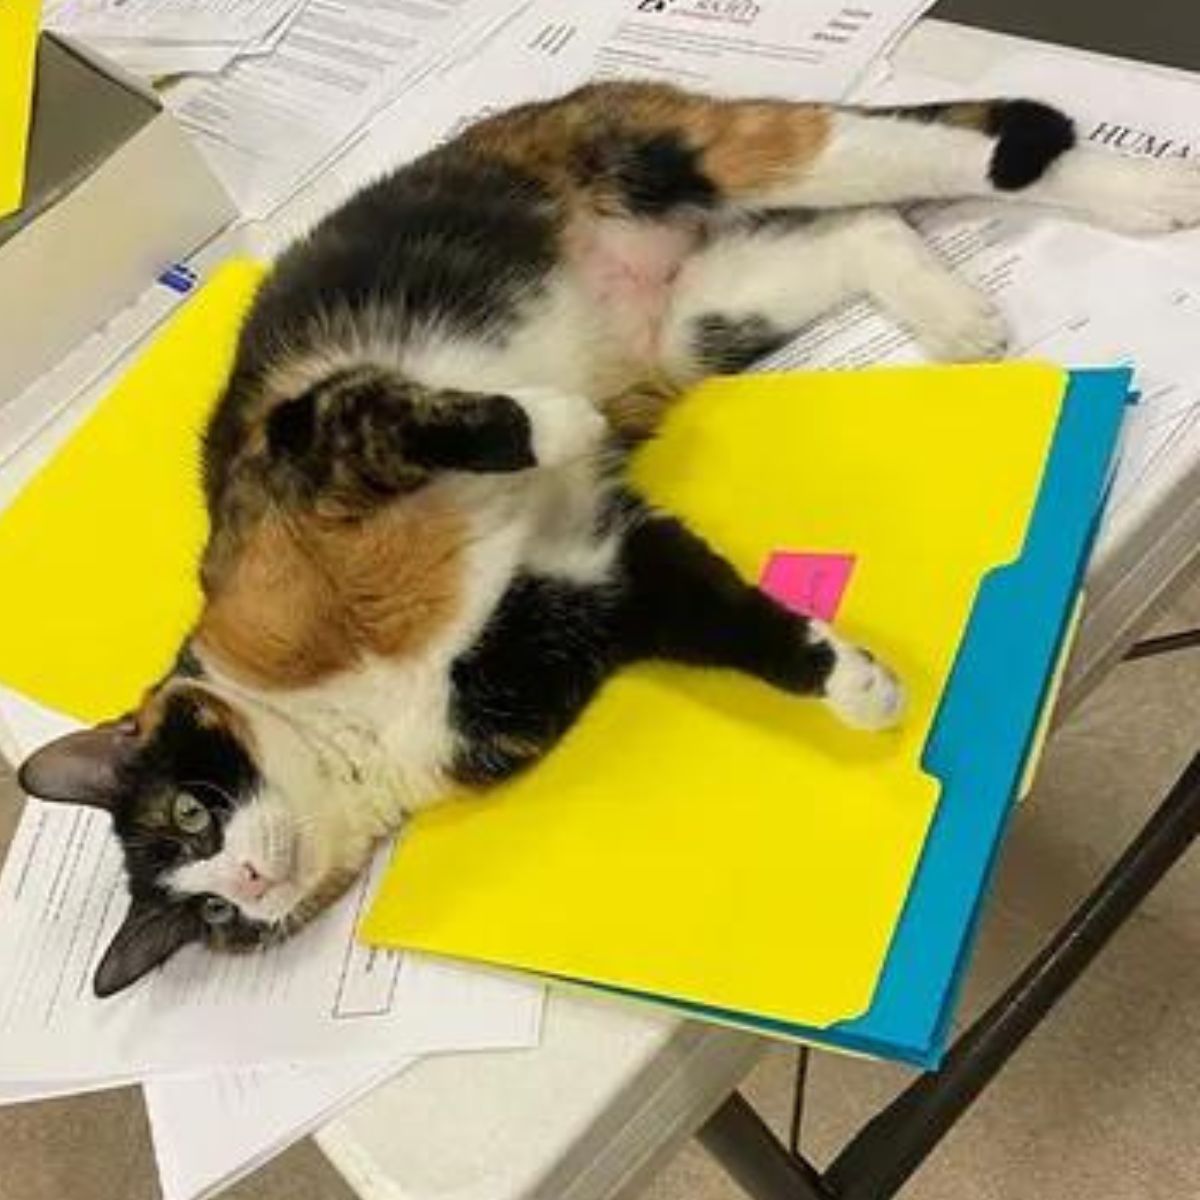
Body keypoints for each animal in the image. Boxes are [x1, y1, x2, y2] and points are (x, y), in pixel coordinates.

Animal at [18, 84, 1200, 998]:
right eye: (207, 918)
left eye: (186, 817)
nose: (247, 887)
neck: (348, 720)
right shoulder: (582, 588)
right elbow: (728, 620)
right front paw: (860, 685)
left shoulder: (308, 452)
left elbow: (413, 411)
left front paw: (560, 423)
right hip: (705, 316)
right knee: (865, 231)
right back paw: (957, 312)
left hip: (677, 153)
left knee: (963, 139)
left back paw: (1146, 191)